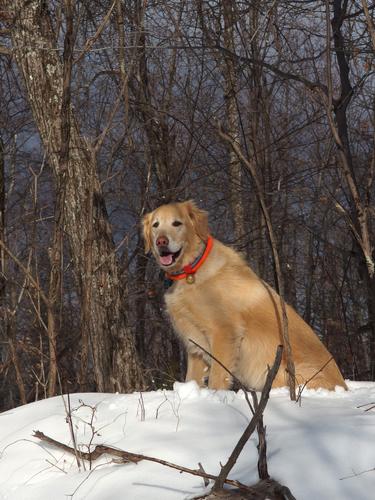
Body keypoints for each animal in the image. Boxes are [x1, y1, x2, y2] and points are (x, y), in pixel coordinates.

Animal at [142, 201, 348, 392]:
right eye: (156, 225)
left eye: (177, 223)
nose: (161, 242)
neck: (191, 270)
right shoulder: (195, 345)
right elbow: (191, 379)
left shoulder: (224, 332)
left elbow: (217, 378)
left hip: (285, 371)